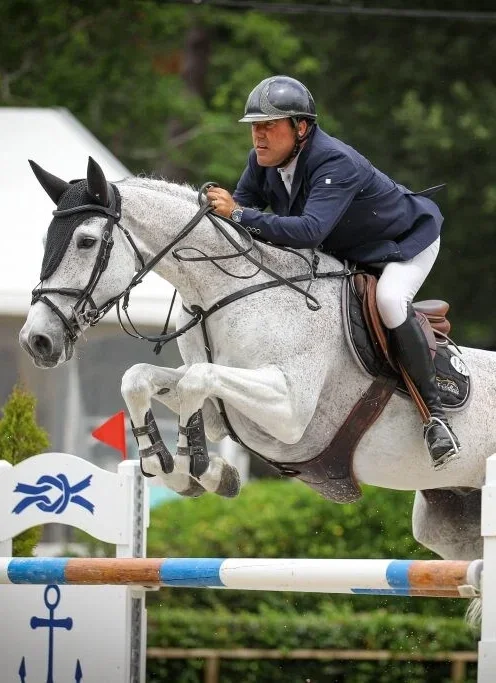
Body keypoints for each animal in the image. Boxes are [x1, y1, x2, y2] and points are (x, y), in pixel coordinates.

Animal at [19, 157, 495, 565]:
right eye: (45, 241)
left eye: (86, 241)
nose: (36, 341)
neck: (221, 295)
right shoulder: (221, 412)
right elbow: (141, 379)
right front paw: (178, 469)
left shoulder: (290, 412)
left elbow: (197, 379)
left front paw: (199, 468)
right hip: (448, 522)